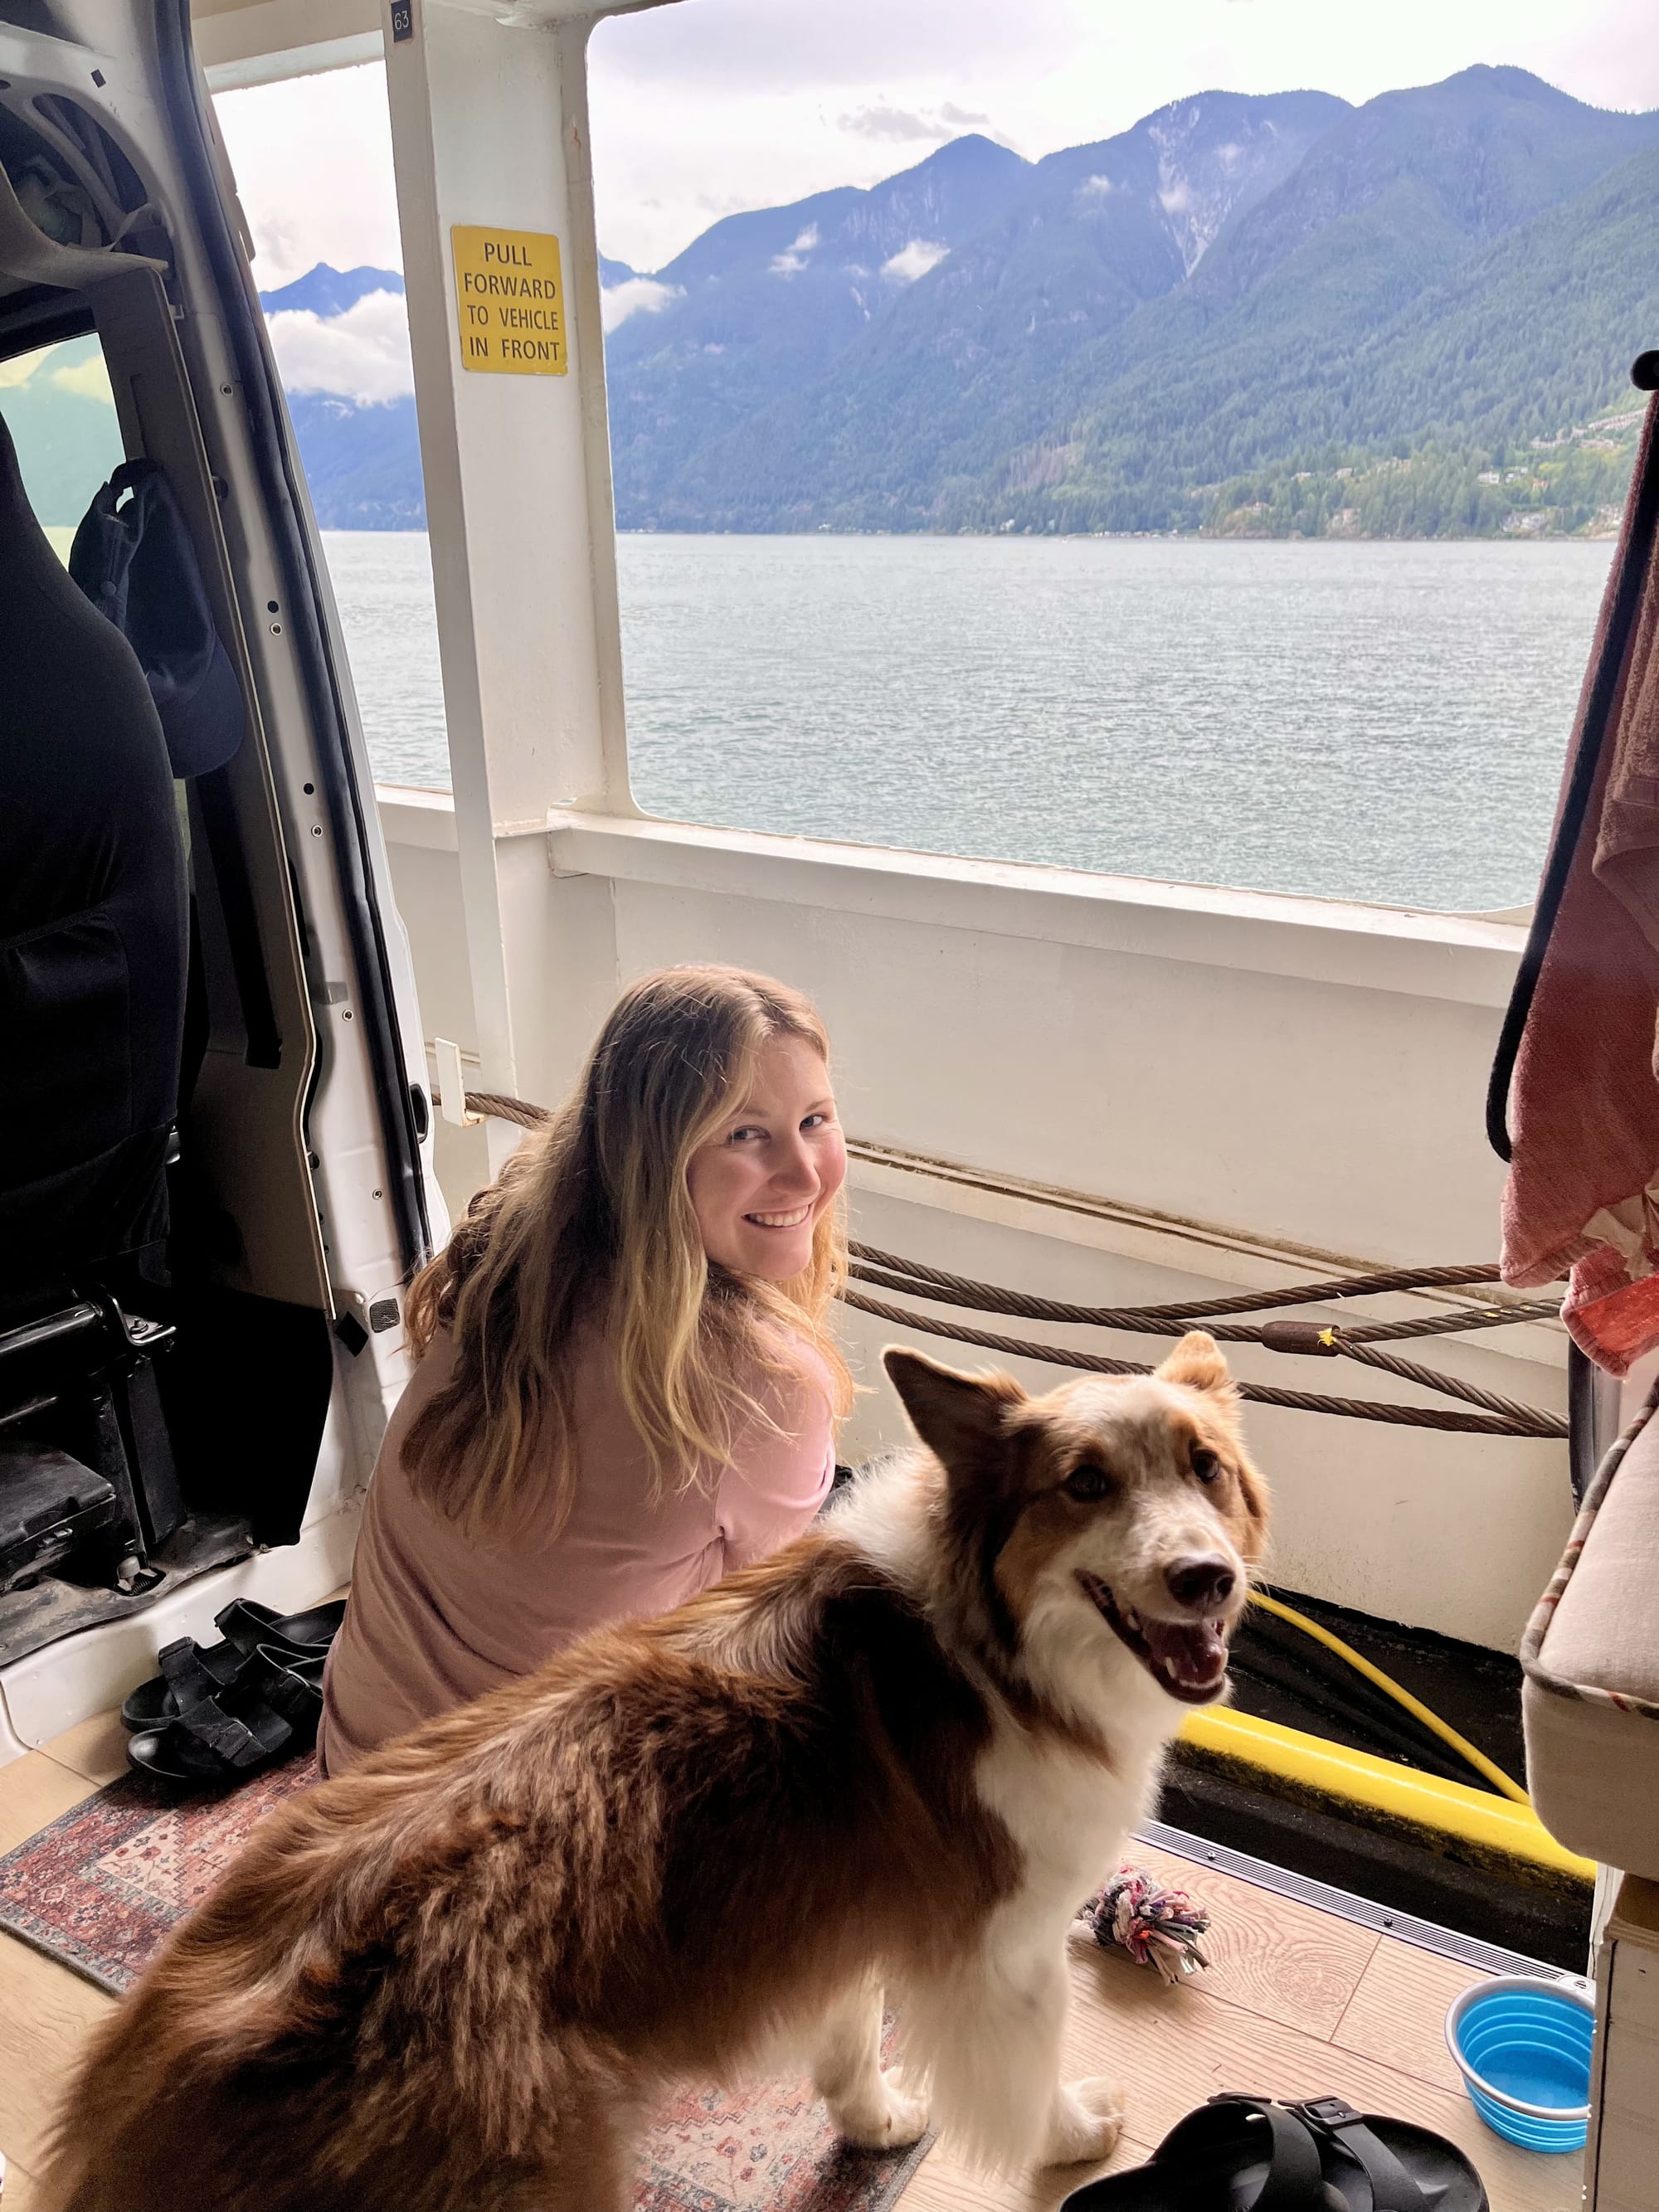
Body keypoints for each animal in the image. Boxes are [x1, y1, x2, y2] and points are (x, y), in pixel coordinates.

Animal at [38, 1333, 1267, 2212]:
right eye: (1085, 1484)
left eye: (1206, 1468)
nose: (1206, 1579)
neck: (993, 1644)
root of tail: (181, 2055)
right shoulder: (1004, 1952)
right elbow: (1029, 2072)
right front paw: (1077, 2136)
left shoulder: (848, 1904)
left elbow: (849, 2033)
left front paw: (874, 2125)